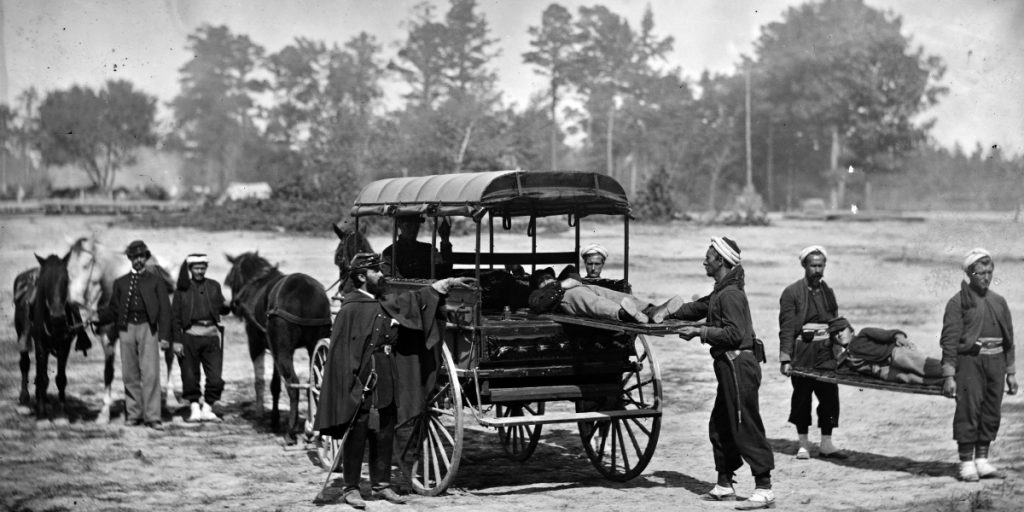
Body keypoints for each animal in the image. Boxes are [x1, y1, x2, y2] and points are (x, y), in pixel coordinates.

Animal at [66, 235, 180, 423]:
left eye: (86, 264)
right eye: (68, 266)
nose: (73, 300)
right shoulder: (107, 338)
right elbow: (108, 372)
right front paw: (104, 413)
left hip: (167, 333)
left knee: (169, 359)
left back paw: (171, 400)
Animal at [225, 249, 331, 442]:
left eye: (230, 280)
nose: (234, 305)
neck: (257, 282)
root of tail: (305, 292)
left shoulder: (256, 343)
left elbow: (260, 380)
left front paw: (261, 414)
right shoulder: (274, 346)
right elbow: (275, 384)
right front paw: (274, 420)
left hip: (283, 350)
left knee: (293, 383)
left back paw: (291, 430)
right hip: (313, 344)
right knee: (312, 383)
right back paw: (310, 427)